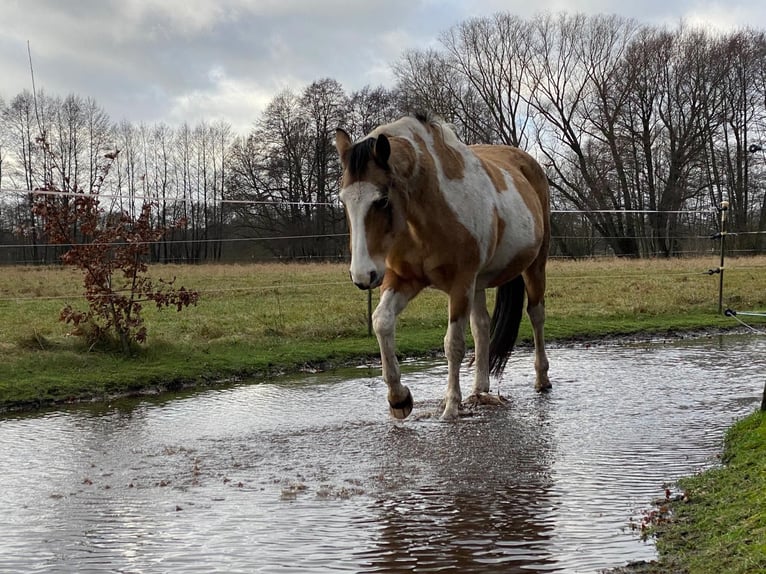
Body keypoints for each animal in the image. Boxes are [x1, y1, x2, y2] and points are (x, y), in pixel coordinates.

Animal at [338, 112, 552, 420]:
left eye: (382, 200)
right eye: (343, 200)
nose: (362, 275)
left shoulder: (460, 283)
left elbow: (453, 344)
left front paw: (451, 406)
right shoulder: (402, 279)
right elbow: (381, 322)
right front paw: (399, 399)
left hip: (534, 266)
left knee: (536, 315)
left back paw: (541, 379)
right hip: (479, 282)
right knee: (482, 326)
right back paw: (480, 389)